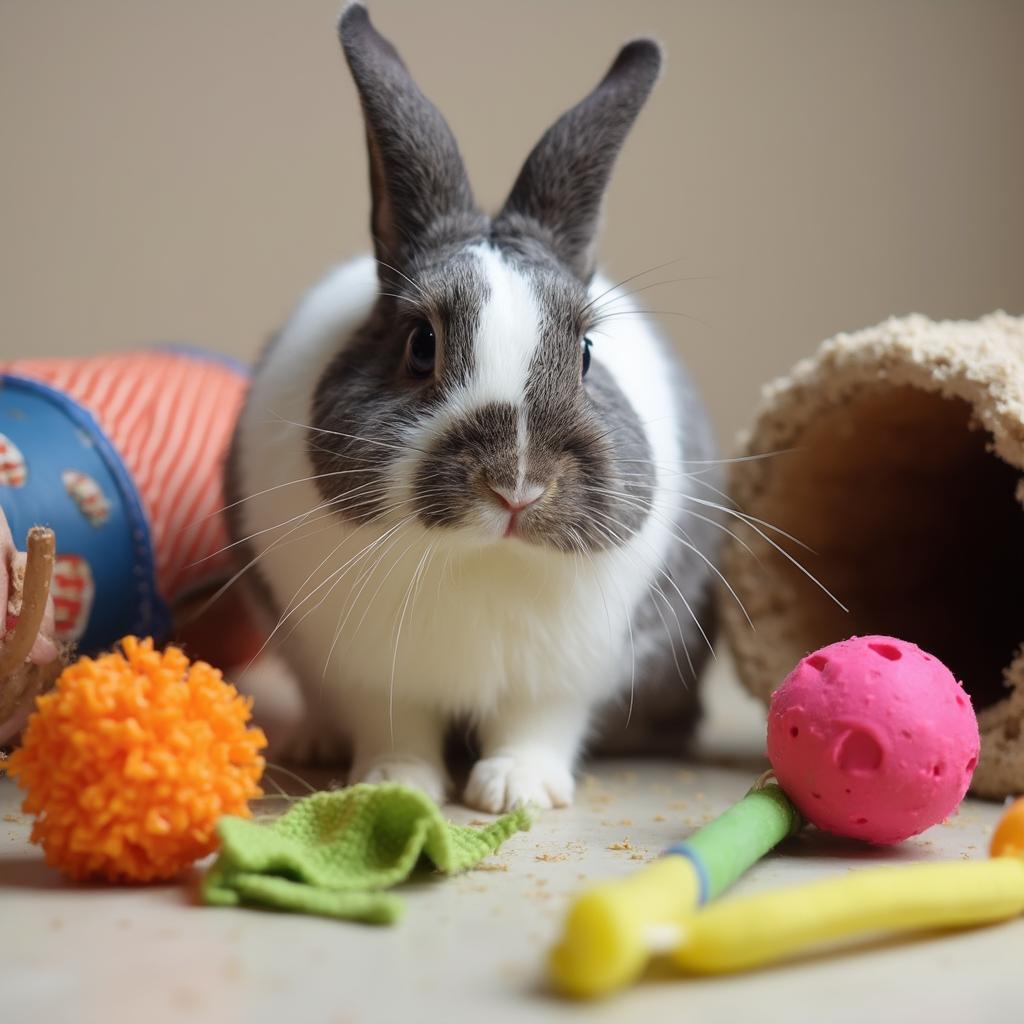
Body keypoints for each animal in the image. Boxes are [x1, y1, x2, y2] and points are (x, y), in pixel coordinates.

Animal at [226, 4, 720, 811]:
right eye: (420, 345)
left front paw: (517, 792)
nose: (516, 488)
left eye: (587, 351)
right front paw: (397, 784)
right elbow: (395, 726)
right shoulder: (367, 672)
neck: (484, 559)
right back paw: (316, 741)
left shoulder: (563, 678)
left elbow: (537, 723)